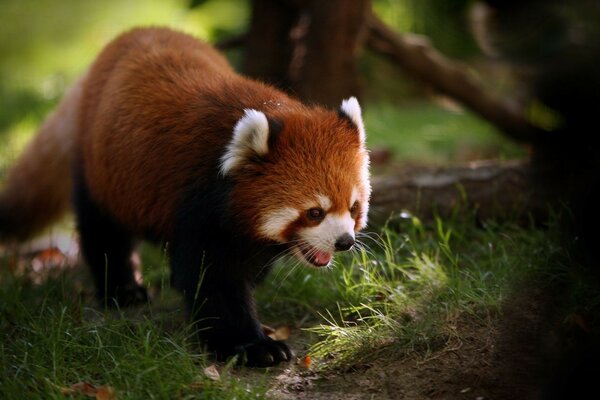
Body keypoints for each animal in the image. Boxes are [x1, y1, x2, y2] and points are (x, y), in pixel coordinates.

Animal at [0, 27, 370, 366]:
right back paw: (122, 290)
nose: (344, 242)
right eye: (314, 212)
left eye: (353, 208)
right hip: (100, 170)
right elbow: (213, 281)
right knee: (103, 231)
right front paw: (251, 346)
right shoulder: (196, 204)